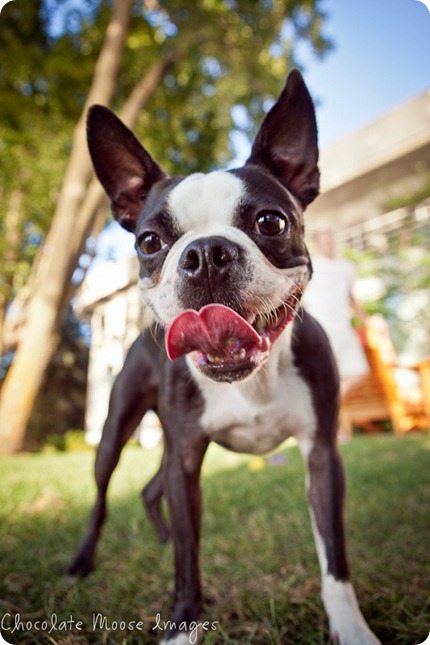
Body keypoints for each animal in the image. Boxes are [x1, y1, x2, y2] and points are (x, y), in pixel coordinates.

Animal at [72, 70, 382, 644]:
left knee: (149, 488)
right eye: (149, 241)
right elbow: (189, 563)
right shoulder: (186, 458)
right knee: (103, 495)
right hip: (115, 431)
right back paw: (84, 559)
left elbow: (334, 558)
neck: (252, 380)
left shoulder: (322, 455)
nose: (206, 253)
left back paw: (160, 537)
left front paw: (351, 627)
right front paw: (182, 626)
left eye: (271, 223)